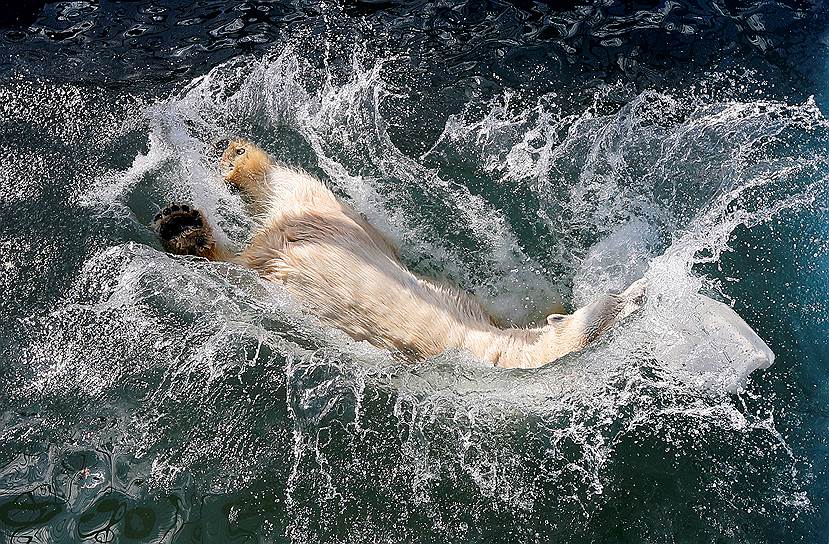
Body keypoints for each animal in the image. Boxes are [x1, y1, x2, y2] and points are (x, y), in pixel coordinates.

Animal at [154, 140, 648, 370]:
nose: (644, 288)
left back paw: (205, 199)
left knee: (277, 196)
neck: (502, 352)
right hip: (334, 224)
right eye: (615, 299)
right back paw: (195, 215)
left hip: (311, 227)